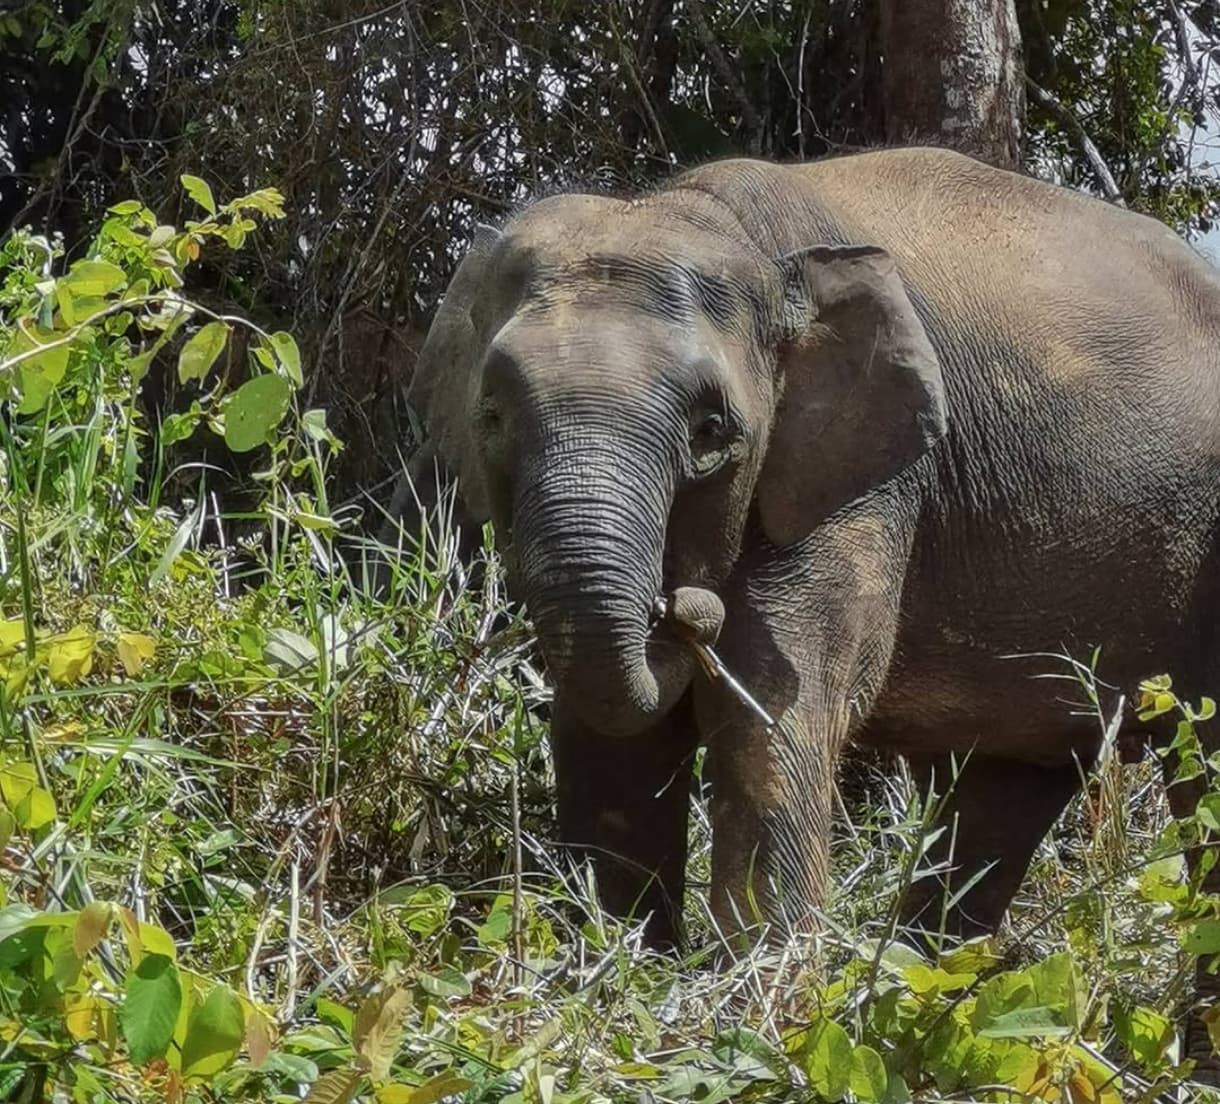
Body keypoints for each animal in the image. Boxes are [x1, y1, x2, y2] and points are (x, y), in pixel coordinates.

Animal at [385, 146, 1220, 1074]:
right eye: (492, 417)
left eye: (711, 432)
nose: (682, 600)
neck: (706, 216)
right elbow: (612, 738)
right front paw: (620, 981)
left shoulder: (869, 478)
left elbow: (772, 708)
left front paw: (760, 1024)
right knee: (1002, 797)